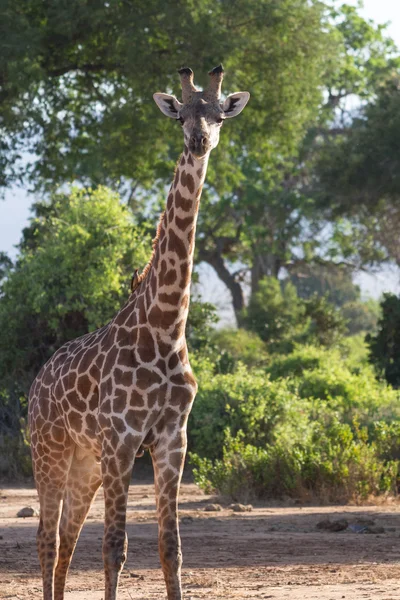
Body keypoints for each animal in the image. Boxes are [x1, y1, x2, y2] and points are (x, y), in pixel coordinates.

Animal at [28, 65, 248, 600]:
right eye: (182, 115)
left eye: (217, 115)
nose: (198, 140)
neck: (165, 328)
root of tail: (36, 383)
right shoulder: (123, 439)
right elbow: (115, 548)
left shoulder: (172, 439)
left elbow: (172, 549)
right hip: (50, 452)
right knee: (46, 538)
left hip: (85, 463)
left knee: (66, 540)